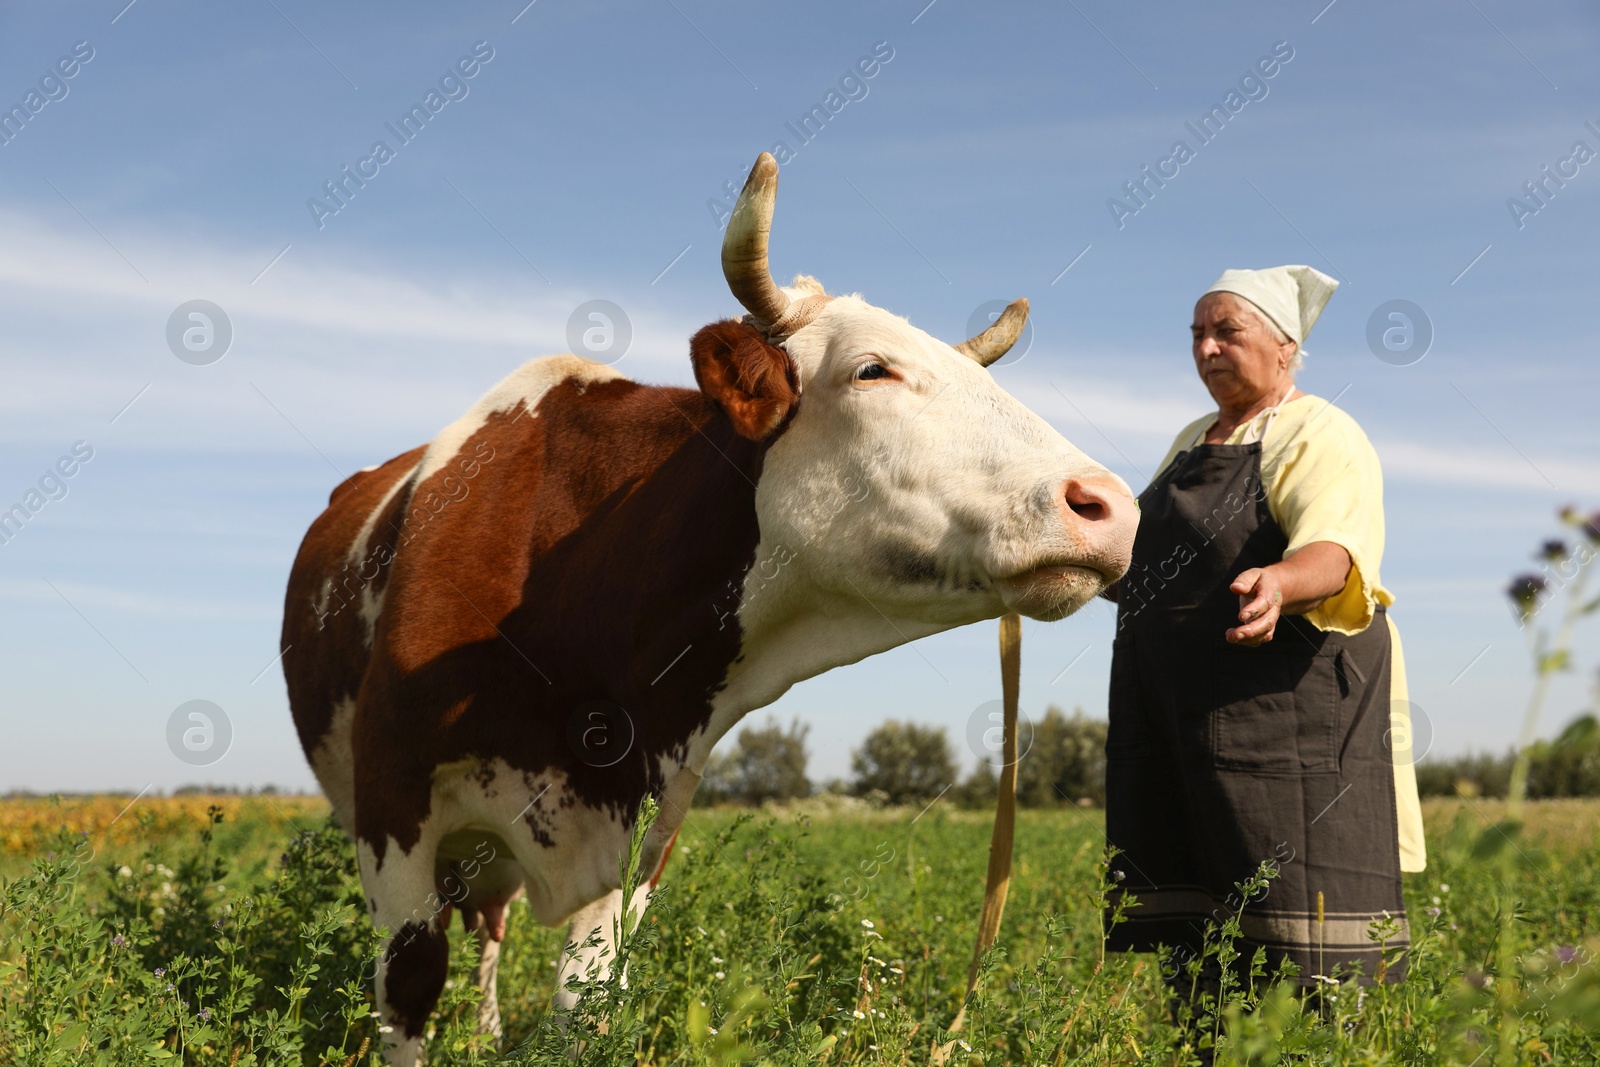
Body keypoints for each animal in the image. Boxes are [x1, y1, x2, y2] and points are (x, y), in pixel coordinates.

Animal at [284, 151, 1139, 1067]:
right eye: (871, 369)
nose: (1112, 506)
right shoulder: (392, 809)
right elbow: (408, 984)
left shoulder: (645, 833)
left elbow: (586, 1005)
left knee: (493, 926)